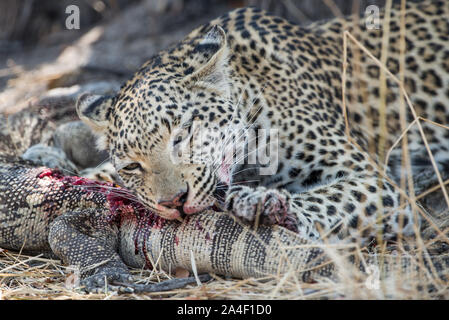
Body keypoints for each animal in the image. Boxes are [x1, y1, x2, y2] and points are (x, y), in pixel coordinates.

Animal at [75, 0, 446, 245]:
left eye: (183, 135)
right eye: (132, 166)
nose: (174, 202)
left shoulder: (377, 180)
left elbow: (330, 197)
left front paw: (265, 204)